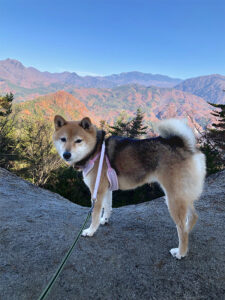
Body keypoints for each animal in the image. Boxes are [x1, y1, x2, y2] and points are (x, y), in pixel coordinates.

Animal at [52, 116, 206, 258]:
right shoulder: (106, 189)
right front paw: (104, 220)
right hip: (181, 194)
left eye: (78, 140)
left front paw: (90, 231)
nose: (66, 154)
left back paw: (181, 252)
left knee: (181, 229)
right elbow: (108, 207)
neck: (95, 150)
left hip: (173, 198)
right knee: (193, 216)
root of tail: (185, 146)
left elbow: (95, 215)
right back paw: (188, 232)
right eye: (63, 139)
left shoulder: (98, 191)